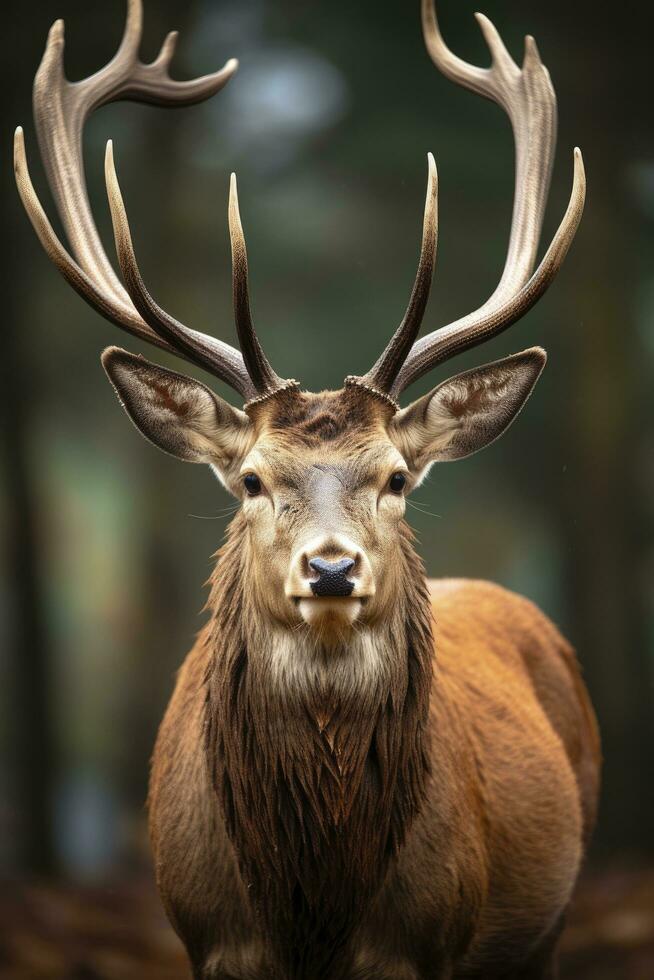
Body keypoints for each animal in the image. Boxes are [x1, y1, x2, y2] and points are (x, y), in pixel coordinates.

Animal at [15, 0, 604, 976]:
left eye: (396, 476)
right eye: (252, 478)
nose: (331, 570)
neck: (313, 904)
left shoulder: (428, 941)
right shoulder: (210, 936)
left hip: (547, 928)